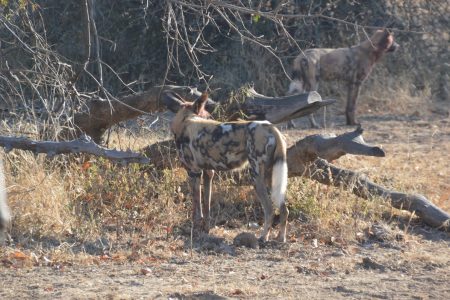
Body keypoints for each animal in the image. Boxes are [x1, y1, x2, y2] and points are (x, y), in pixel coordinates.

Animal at [165, 91, 288, 241]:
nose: (212, 118)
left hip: (256, 176)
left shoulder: (194, 172)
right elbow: (206, 207)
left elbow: (197, 209)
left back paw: (263, 237)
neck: (186, 120)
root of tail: (271, 127)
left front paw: (195, 230)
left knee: (269, 209)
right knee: (283, 209)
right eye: (207, 115)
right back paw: (281, 238)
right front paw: (206, 230)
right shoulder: (208, 173)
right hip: (272, 178)